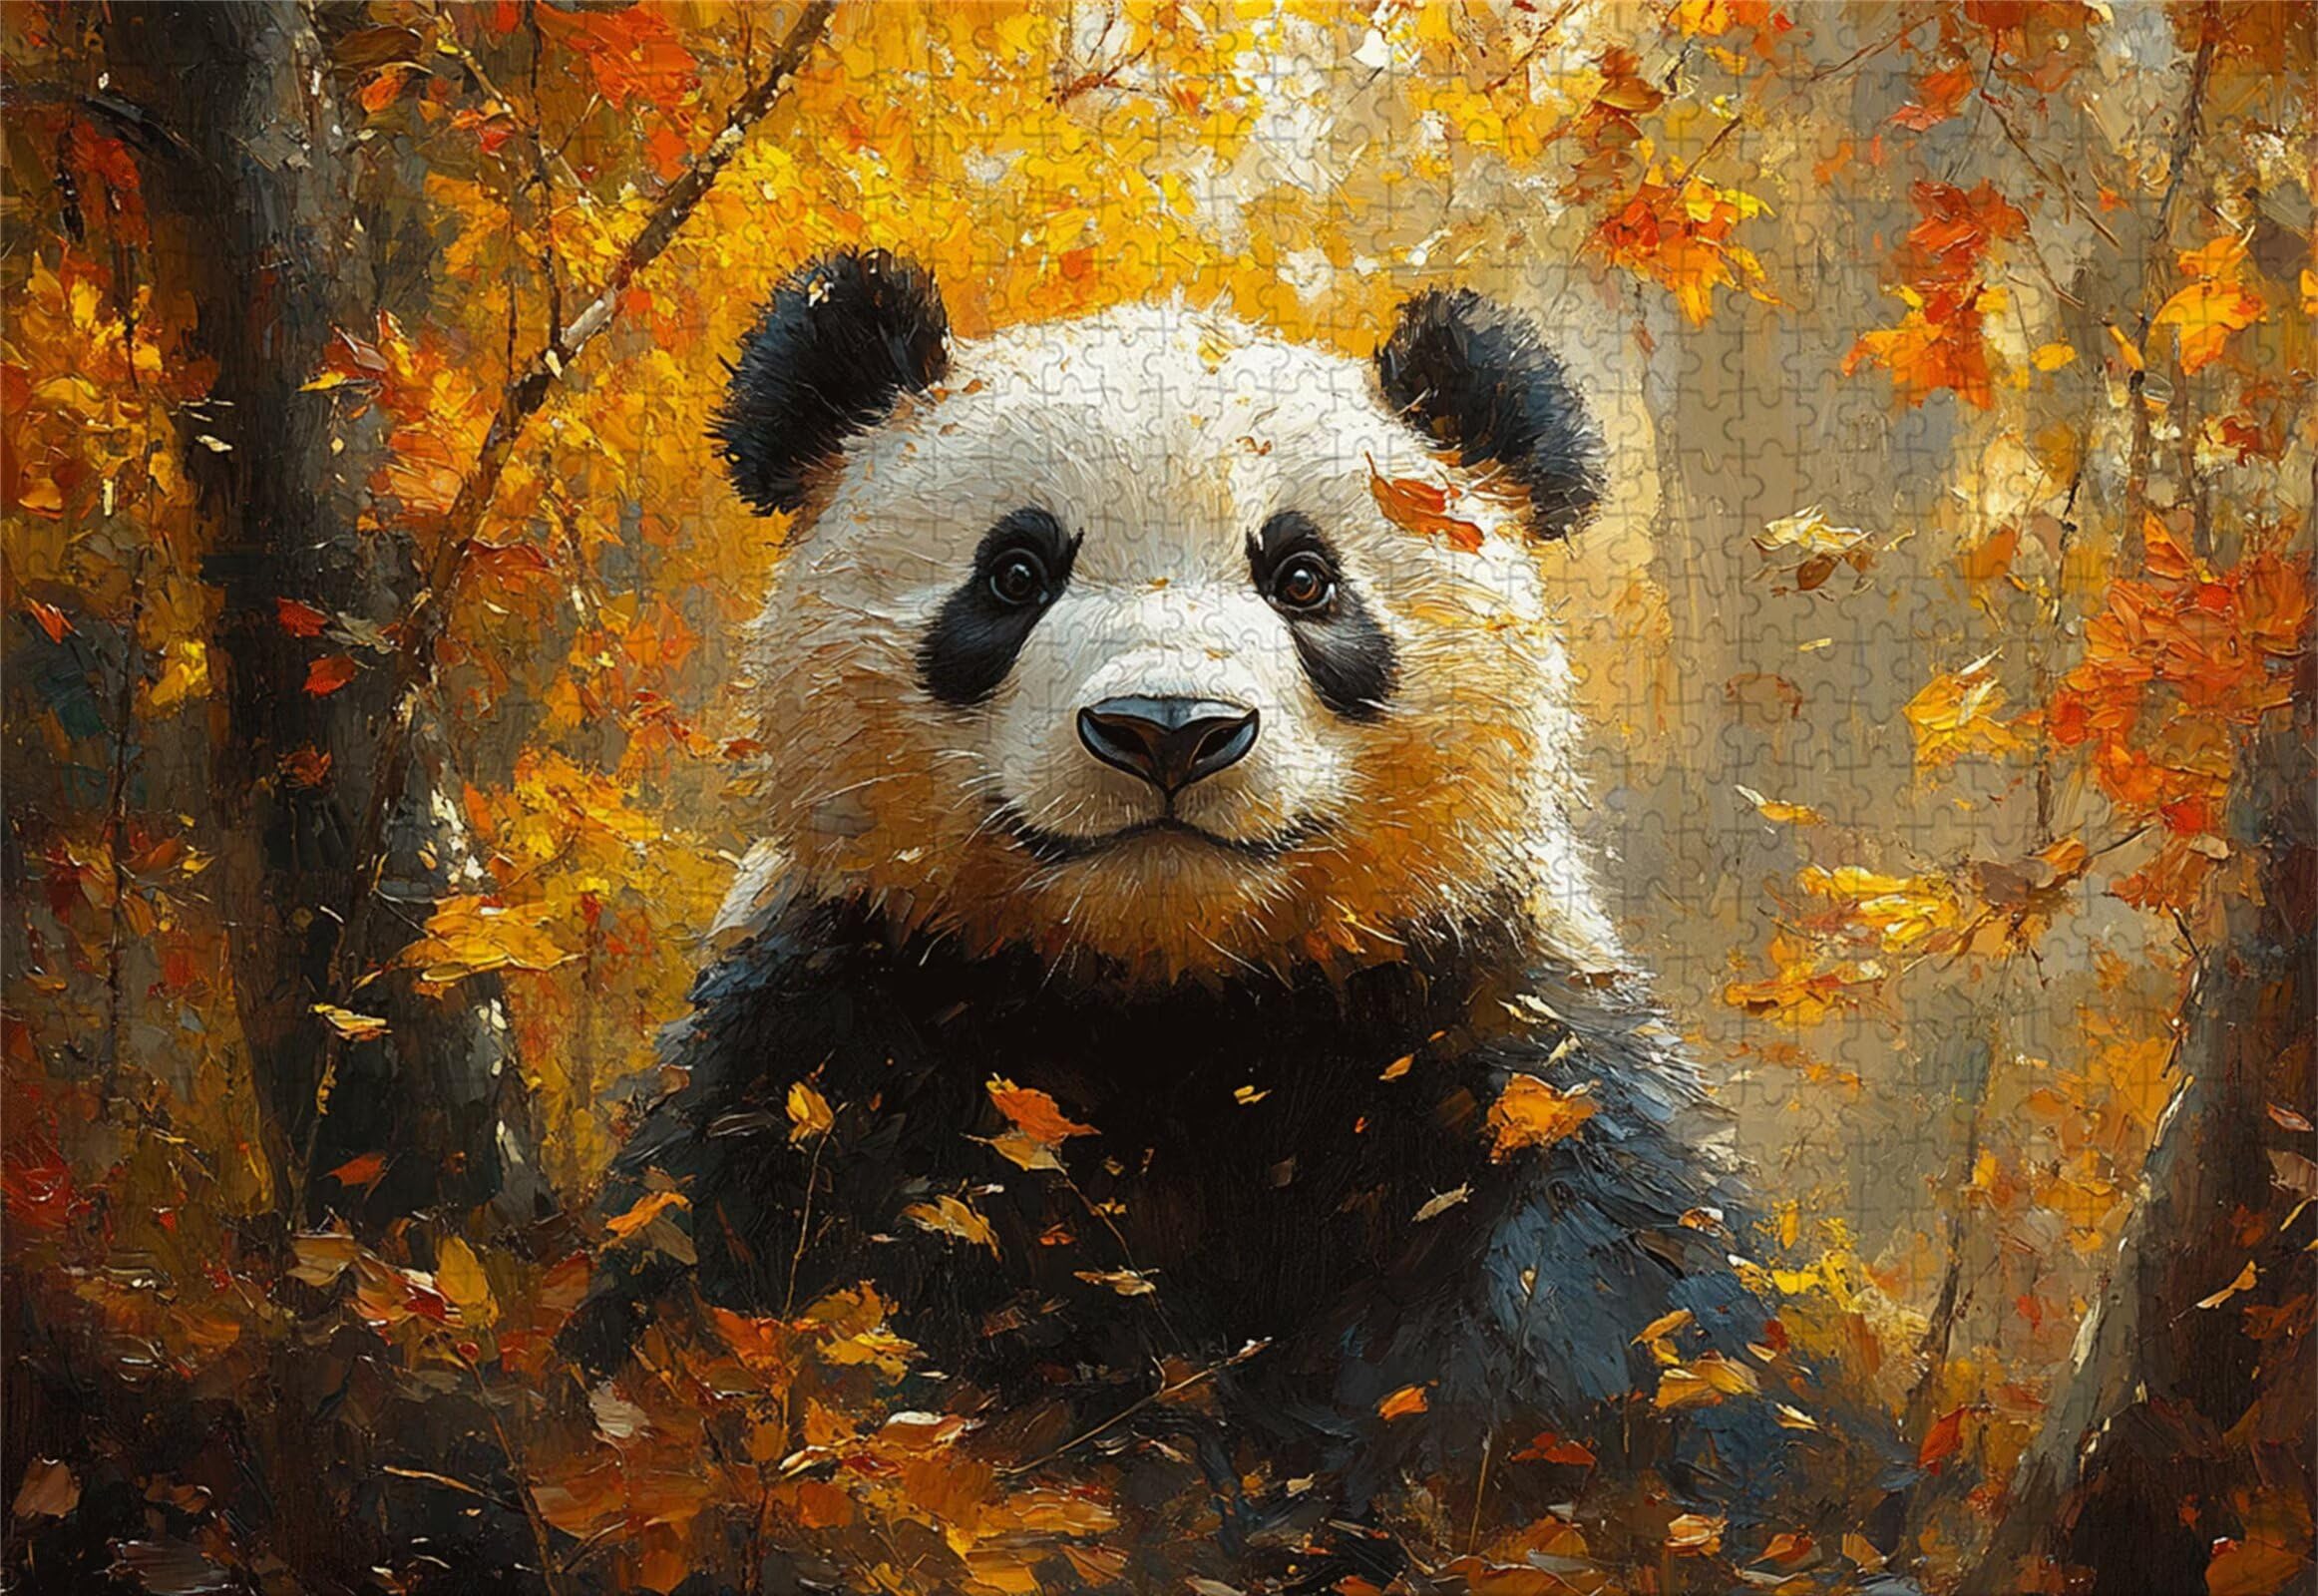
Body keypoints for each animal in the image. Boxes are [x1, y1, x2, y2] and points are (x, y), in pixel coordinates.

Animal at [579, 250, 1902, 1588]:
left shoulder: (1496, 1047)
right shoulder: (837, 1045)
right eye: (1014, 573)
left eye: (1302, 577)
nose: (1168, 727)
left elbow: (1623, 1347)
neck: (1177, 997)